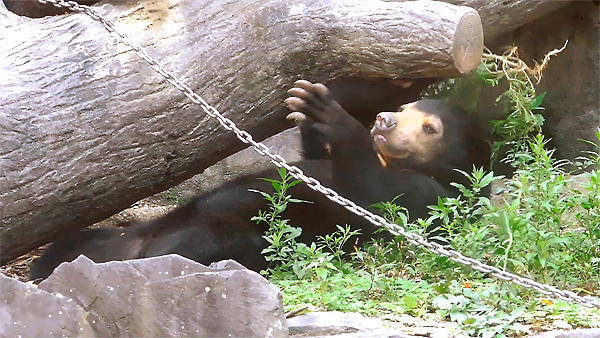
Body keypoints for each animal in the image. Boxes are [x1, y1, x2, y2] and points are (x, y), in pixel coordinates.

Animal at [28, 79, 490, 282]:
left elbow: (376, 202)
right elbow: (311, 161)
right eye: (406, 107)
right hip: (124, 232)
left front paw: (331, 114)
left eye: (429, 128)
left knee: (198, 246)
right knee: (79, 242)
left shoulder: (429, 196)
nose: (384, 120)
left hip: (228, 239)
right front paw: (308, 105)